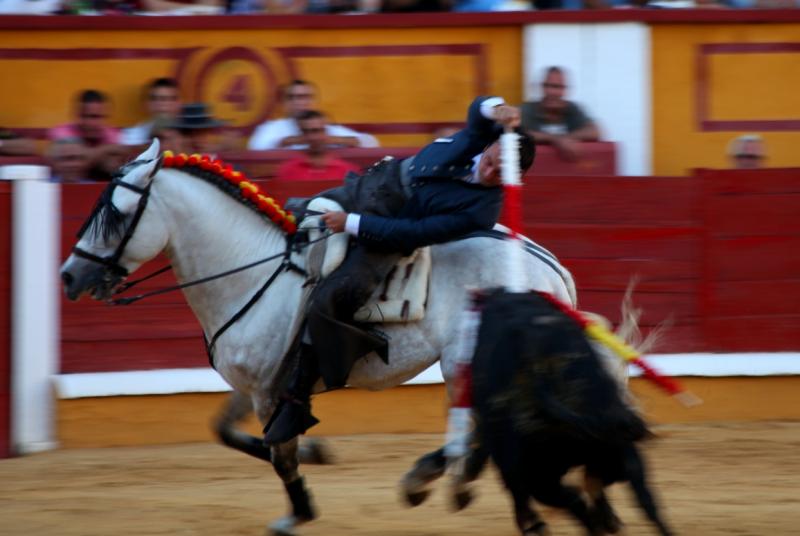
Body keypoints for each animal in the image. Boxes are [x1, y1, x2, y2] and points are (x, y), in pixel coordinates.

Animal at [61, 139, 576, 536]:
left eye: (115, 212)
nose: (69, 276)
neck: (250, 270)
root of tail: (551, 267)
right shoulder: (256, 382)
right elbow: (229, 432)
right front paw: (318, 454)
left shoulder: (273, 389)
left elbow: (279, 452)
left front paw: (299, 511)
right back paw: (440, 481)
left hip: (463, 363)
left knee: (487, 427)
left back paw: (452, 485)